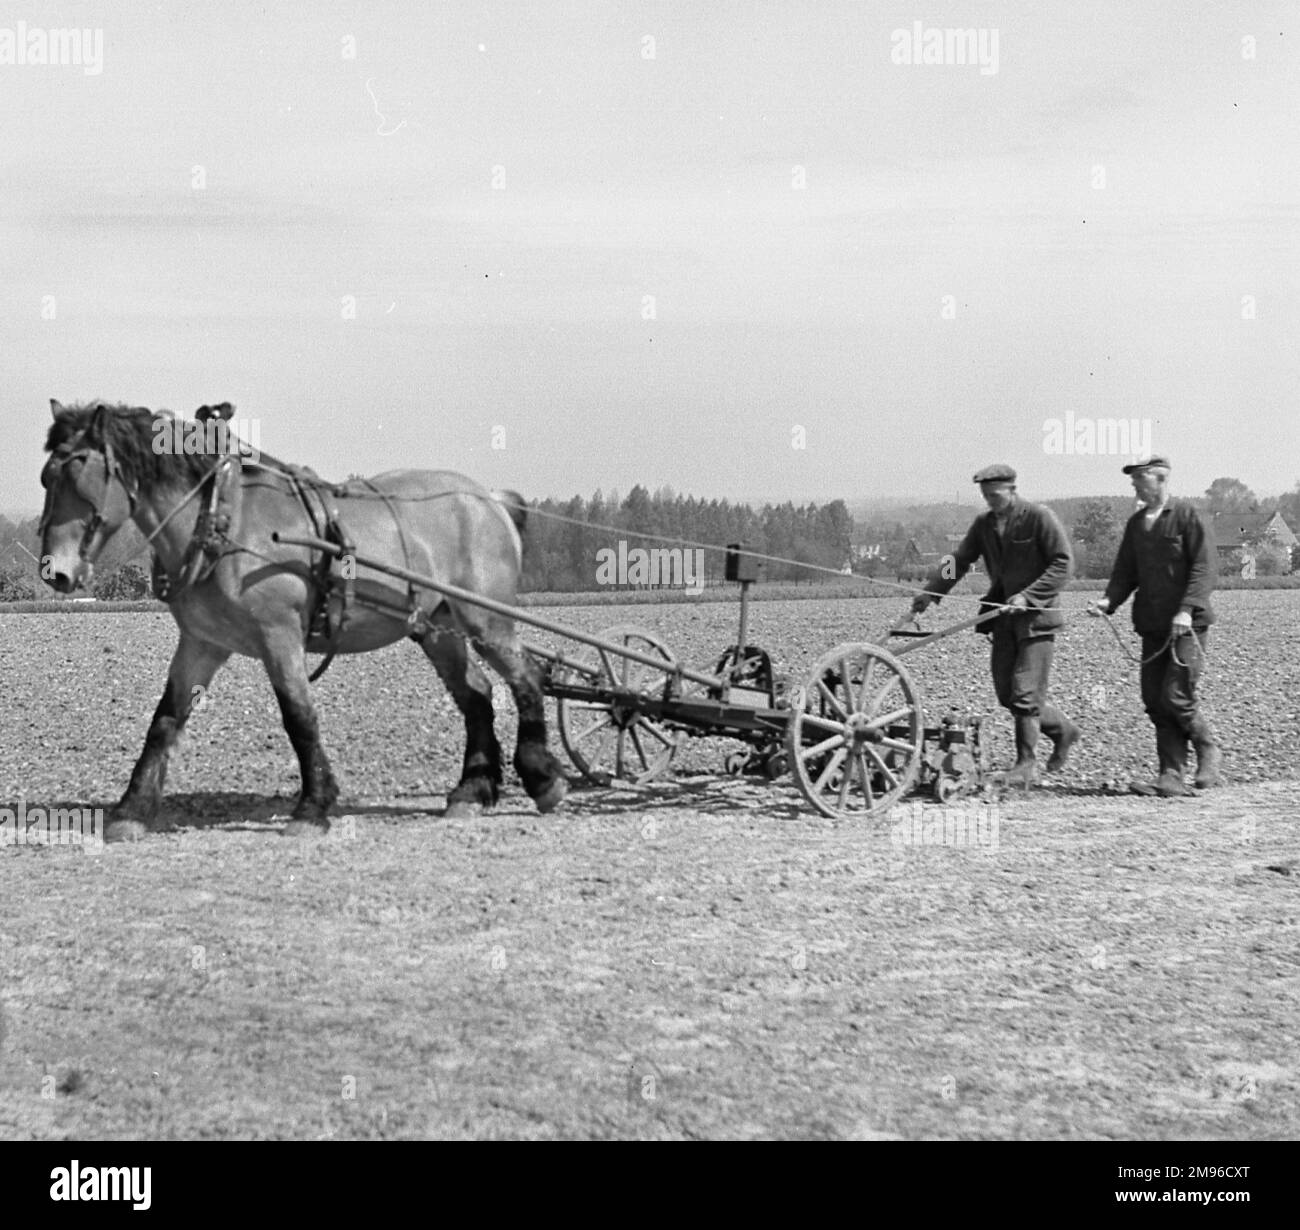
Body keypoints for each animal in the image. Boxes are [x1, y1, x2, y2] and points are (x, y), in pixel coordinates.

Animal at [38, 397, 566, 837]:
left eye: (81, 474)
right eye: (46, 477)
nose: (56, 573)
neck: (222, 522)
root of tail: (491, 498)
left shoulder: (279, 635)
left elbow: (299, 716)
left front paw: (312, 808)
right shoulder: (203, 642)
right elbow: (165, 720)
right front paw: (131, 811)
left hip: (485, 619)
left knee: (526, 679)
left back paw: (543, 780)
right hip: (438, 628)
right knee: (477, 695)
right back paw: (471, 793)